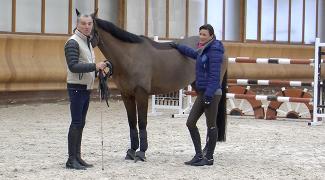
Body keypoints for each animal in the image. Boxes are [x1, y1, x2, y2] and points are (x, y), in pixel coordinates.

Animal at [87, 9, 227, 162]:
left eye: (88, 26)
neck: (130, 56)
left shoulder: (141, 94)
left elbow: (142, 123)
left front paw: (141, 153)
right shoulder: (126, 95)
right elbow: (132, 123)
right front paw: (131, 151)